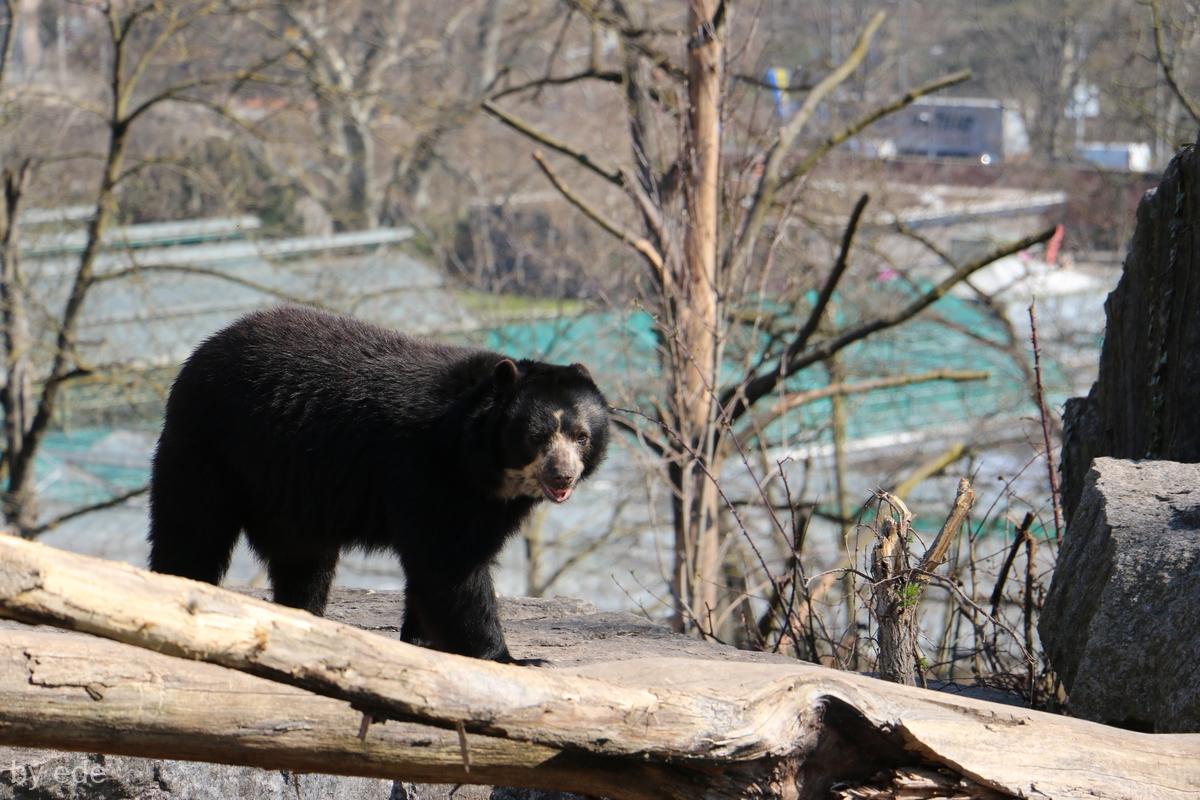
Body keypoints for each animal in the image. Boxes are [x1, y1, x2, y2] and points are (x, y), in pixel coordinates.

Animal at [147, 305, 609, 665]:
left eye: (581, 436)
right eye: (536, 435)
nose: (562, 475)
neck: (479, 460)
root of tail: (205, 347)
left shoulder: (489, 503)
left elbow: (448, 562)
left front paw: (422, 640)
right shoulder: (427, 468)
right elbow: (448, 564)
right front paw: (512, 657)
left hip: (289, 488)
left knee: (304, 560)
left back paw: (304, 616)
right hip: (212, 446)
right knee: (192, 530)